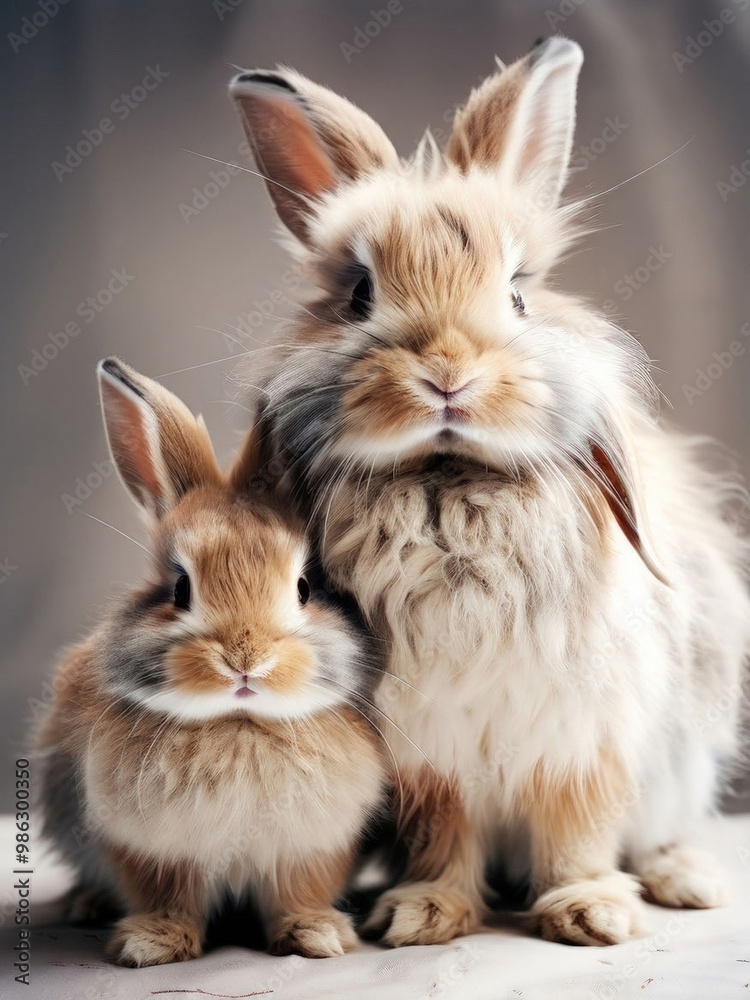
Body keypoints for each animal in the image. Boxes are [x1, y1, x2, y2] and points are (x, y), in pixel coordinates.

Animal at [35, 357, 386, 967]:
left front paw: (317, 936)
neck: (237, 724)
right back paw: (87, 904)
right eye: (180, 588)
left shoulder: (313, 849)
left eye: (304, 587)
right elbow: (169, 898)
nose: (246, 661)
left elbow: (299, 893)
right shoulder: (149, 849)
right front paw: (150, 944)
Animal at [226, 34, 750, 950]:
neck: (450, 483)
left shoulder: (580, 736)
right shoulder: (429, 756)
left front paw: (592, 912)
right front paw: (424, 914)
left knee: (656, 831)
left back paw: (684, 880)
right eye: (358, 295)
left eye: (517, 295)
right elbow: (447, 833)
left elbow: (579, 827)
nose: (448, 372)